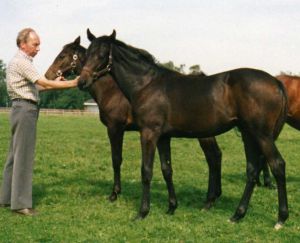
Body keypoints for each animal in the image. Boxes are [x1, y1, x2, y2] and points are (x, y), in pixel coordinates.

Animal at [44, 34, 223, 211]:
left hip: (204, 134)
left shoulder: (115, 128)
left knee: (212, 158)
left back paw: (209, 200)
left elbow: (116, 159)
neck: (112, 90)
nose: (48, 75)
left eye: (62, 56)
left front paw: (114, 194)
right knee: (217, 156)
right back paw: (215, 197)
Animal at [78, 29, 290, 228]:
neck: (146, 85)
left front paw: (142, 212)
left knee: (277, 165)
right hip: (248, 134)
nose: (82, 81)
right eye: (87, 53)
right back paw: (237, 215)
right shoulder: (163, 137)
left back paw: (280, 218)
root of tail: (276, 82)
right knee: (252, 170)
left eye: (102, 54)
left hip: (261, 135)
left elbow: (146, 171)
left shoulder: (148, 133)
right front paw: (172, 207)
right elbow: (167, 169)